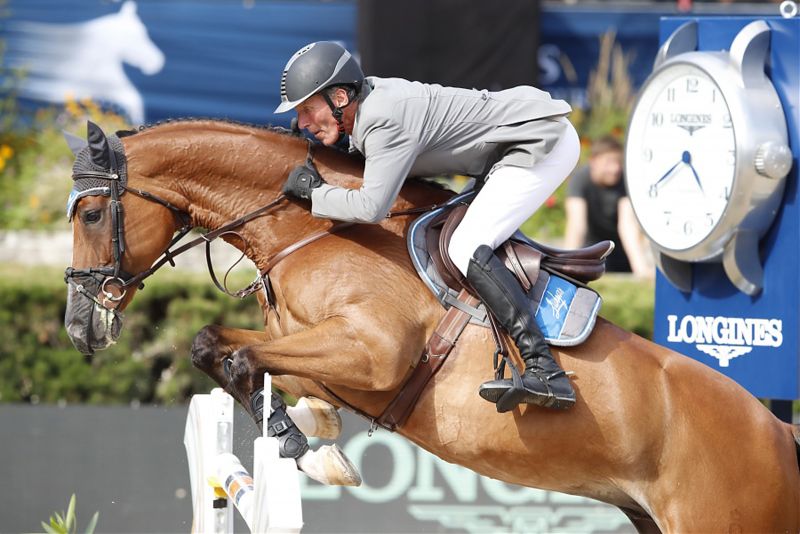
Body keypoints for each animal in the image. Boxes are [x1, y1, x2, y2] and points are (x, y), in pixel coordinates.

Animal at [64, 119, 800, 532]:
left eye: (92, 215)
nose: (80, 329)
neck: (312, 226)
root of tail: (777, 433)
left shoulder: (374, 352)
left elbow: (240, 358)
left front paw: (305, 445)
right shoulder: (307, 344)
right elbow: (217, 347)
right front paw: (317, 430)